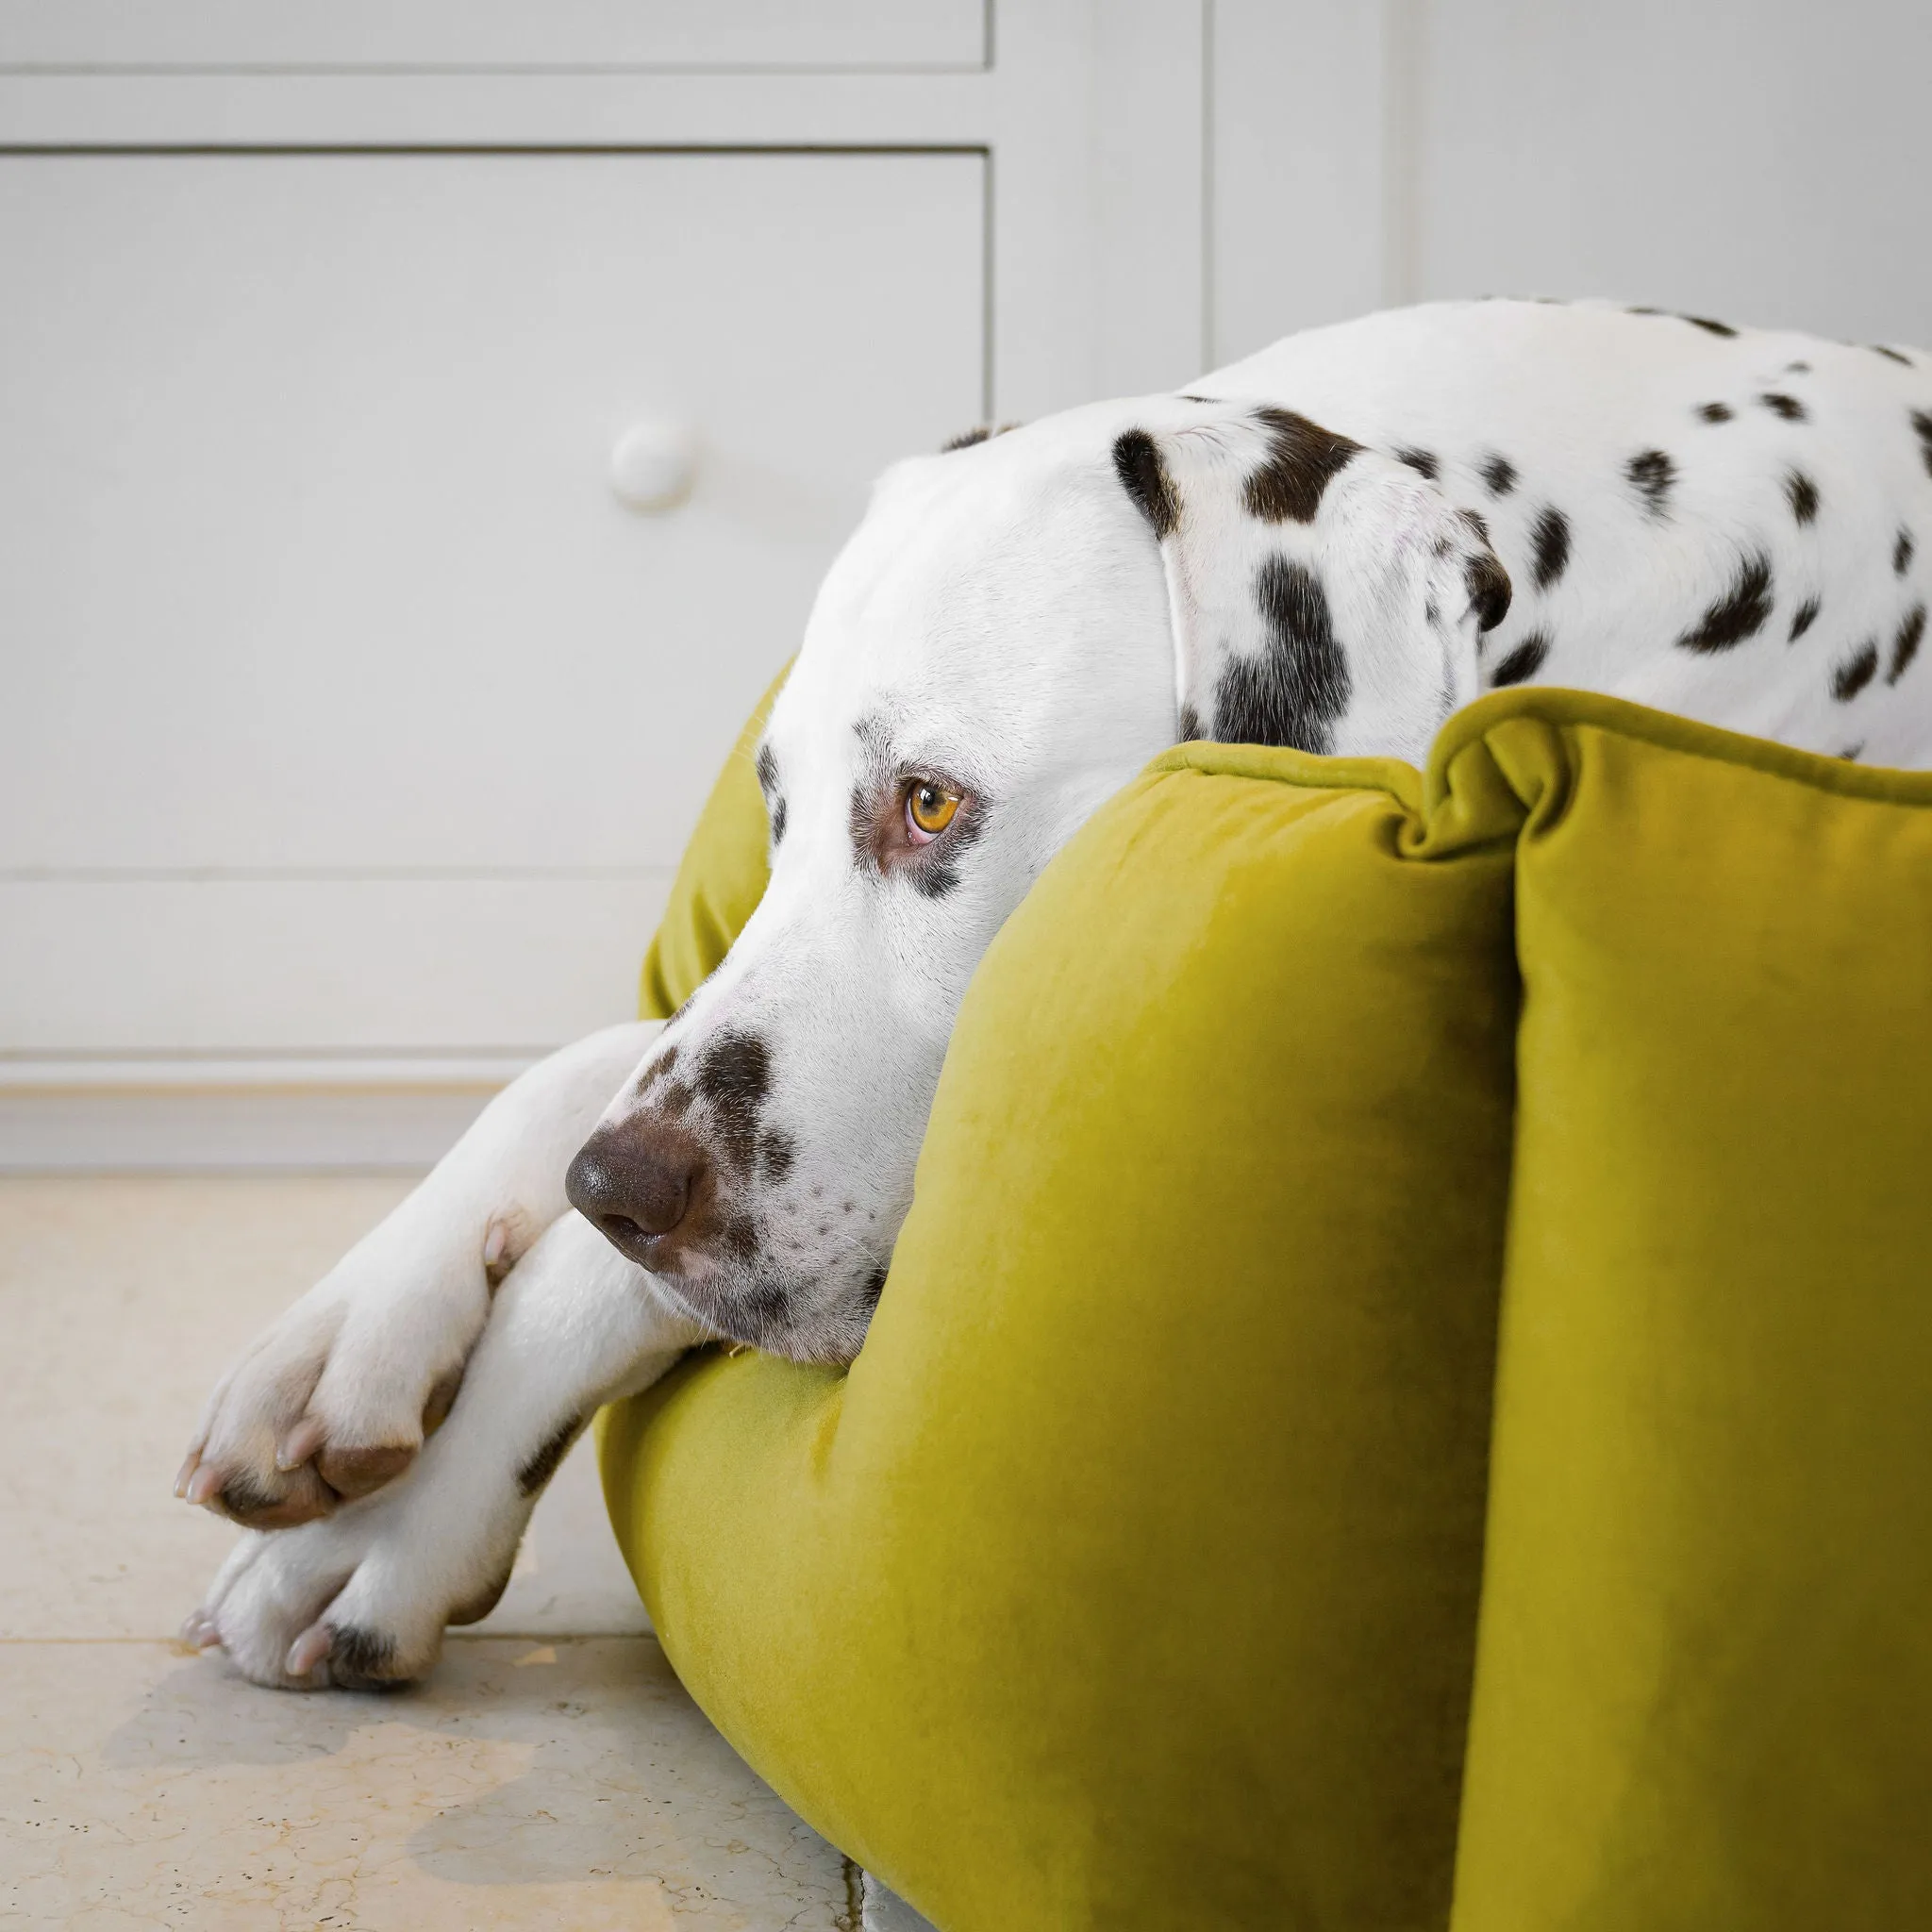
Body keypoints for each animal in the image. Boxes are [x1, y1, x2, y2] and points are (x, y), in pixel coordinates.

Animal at [174, 297, 1924, 1692]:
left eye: (931, 803)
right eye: (776, 808)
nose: (613, 1190)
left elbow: (614, 1275)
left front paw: (400, 1525)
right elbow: (587, 1058)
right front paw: (341, 1345)